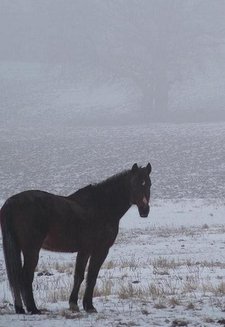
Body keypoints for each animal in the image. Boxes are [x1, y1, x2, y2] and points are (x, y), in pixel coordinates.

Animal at [0, 164, 152, 316]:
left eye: (149, 184)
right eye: (135, 184)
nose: (145, 210)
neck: (102, 206)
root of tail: (10, 203)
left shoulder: (85, 250)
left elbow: (79, 276)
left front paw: (74, 304)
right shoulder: (100, 250)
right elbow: (92, 276)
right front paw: (89, 306)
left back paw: (20, 308)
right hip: (31, 249)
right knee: (25, 276)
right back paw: (33, 309)